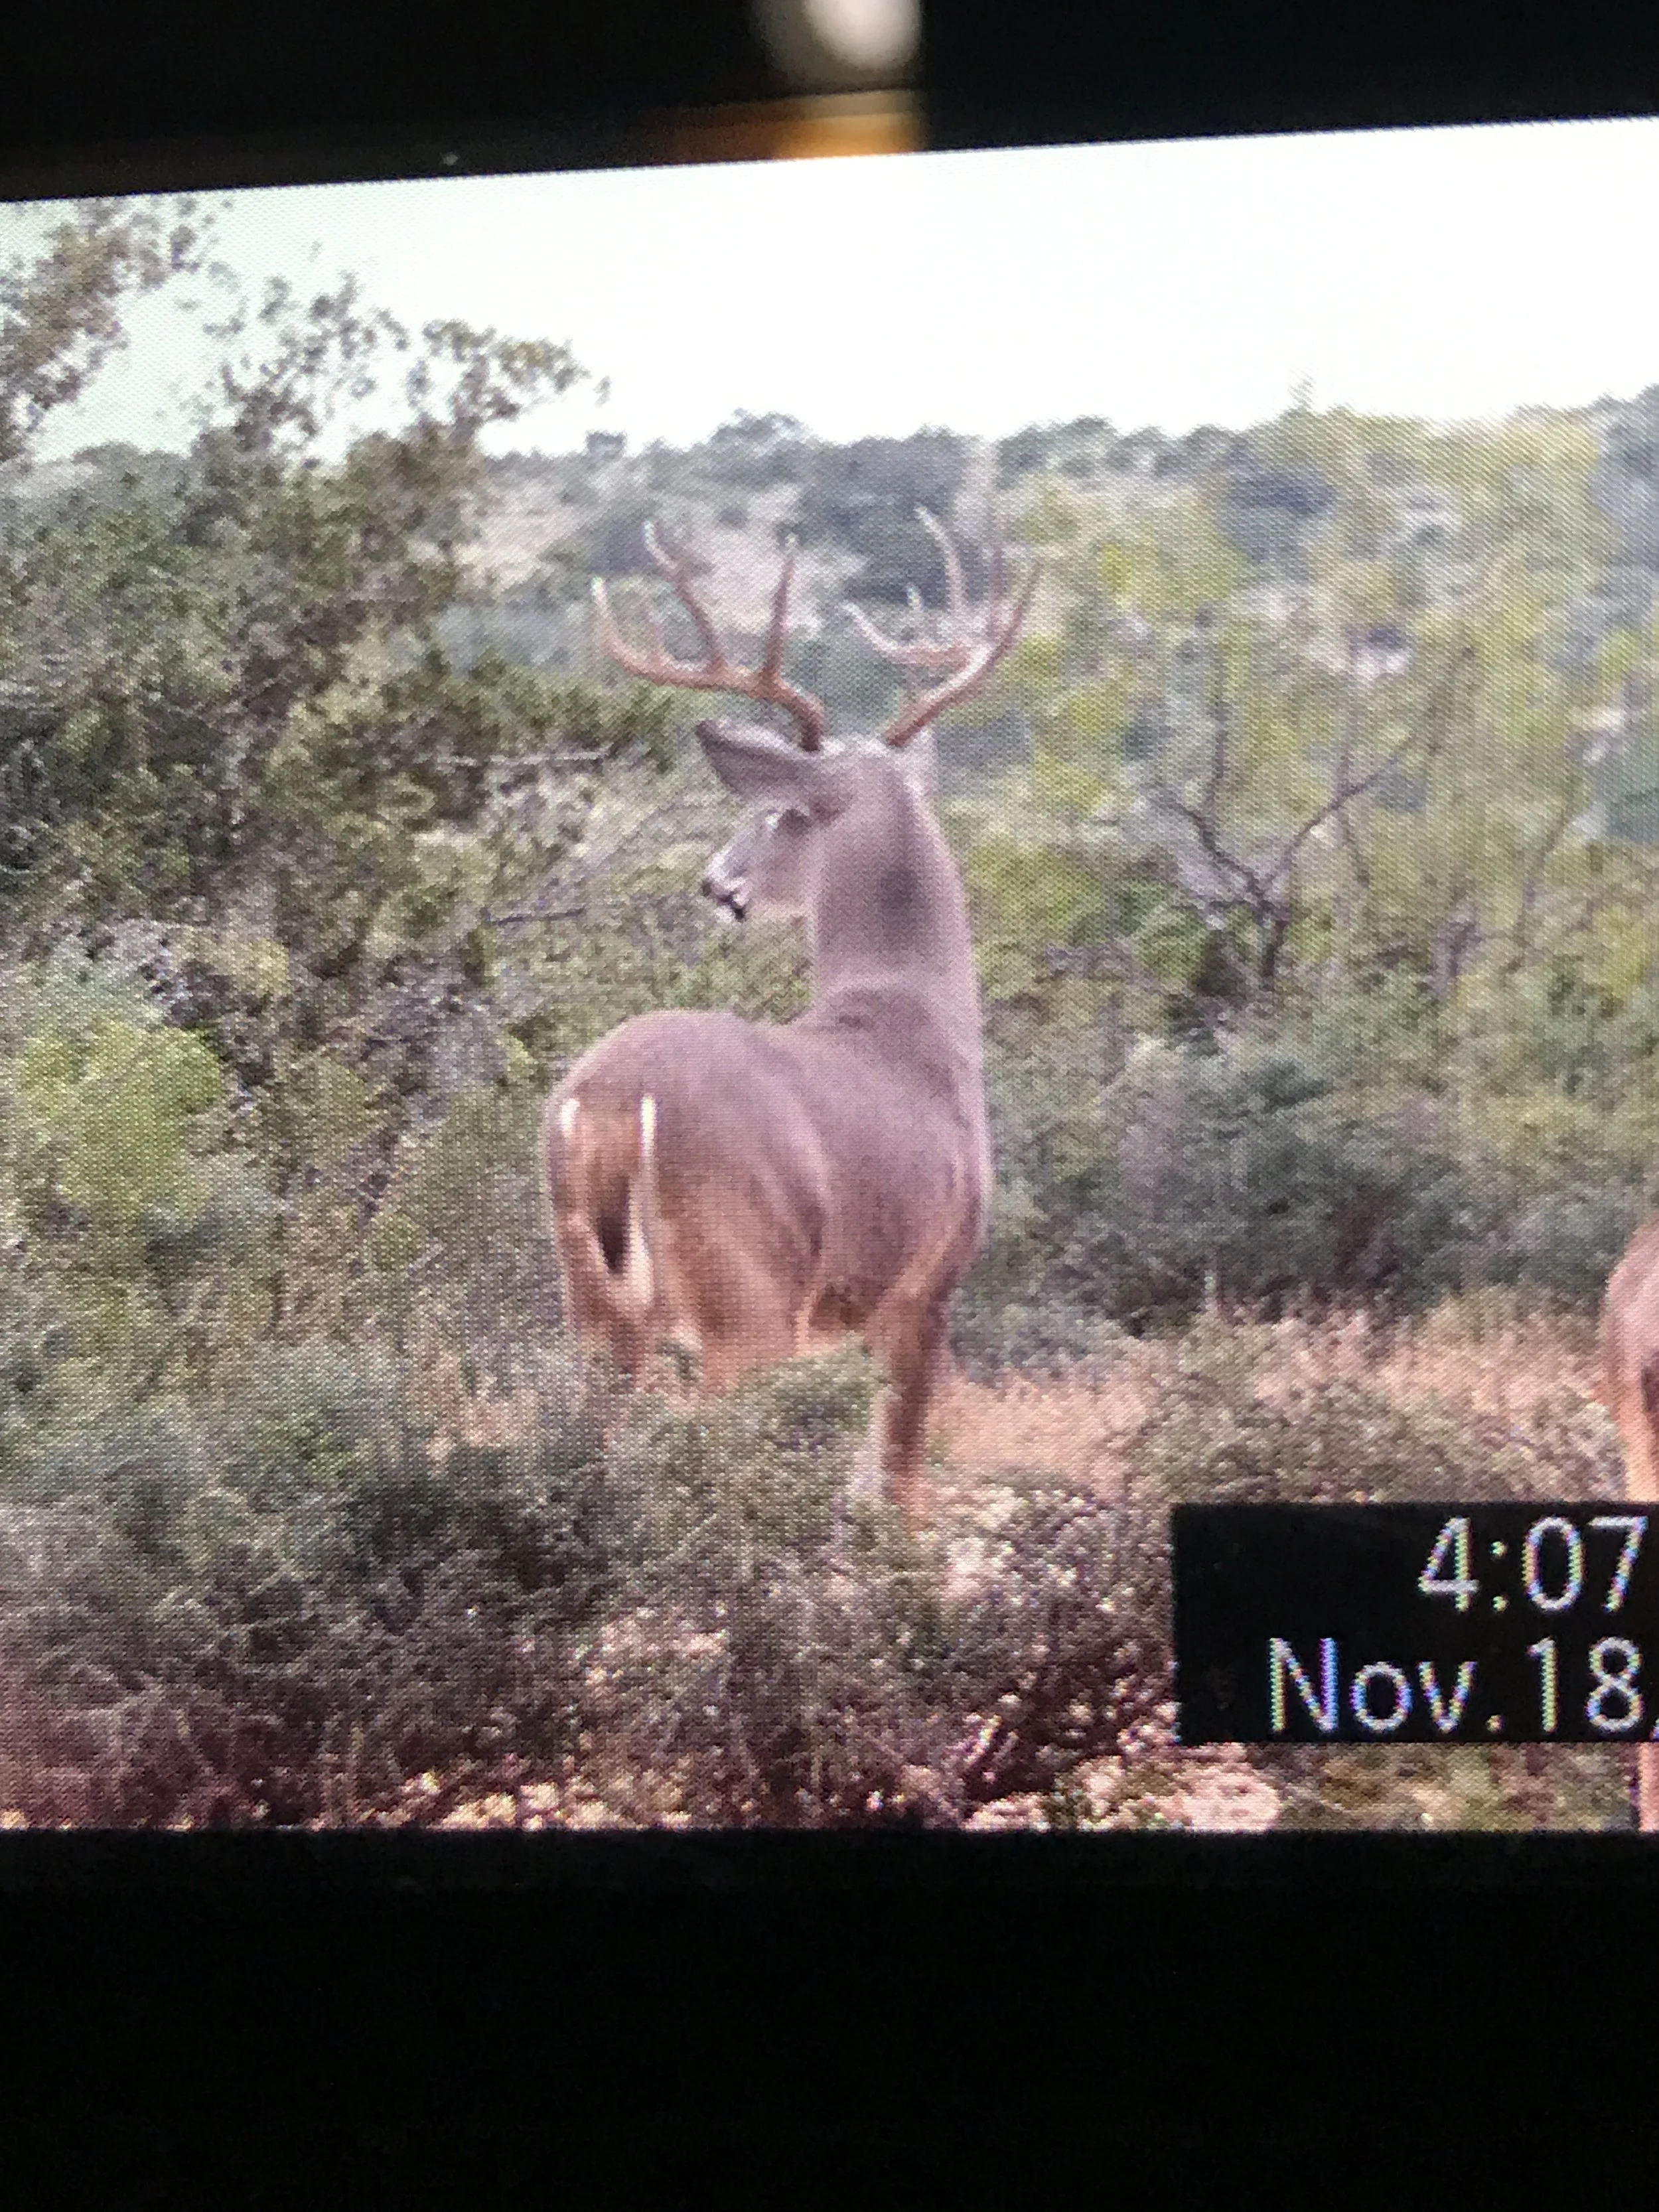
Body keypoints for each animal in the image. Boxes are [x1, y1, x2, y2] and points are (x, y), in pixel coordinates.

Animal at [542, 513, 1036, 1526]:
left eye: (774, 815)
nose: (714, 883)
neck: (913, 1015)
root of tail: (609, 1102)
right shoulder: (925, 1288)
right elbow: (899, 1488)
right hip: (747, 1290)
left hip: (592, 1300)